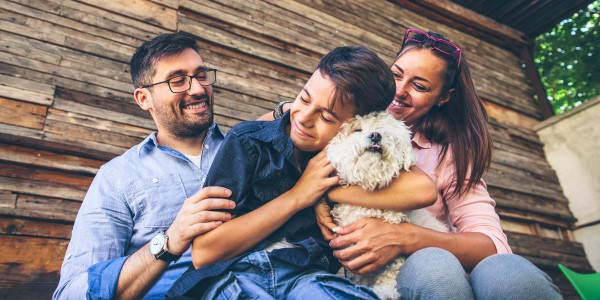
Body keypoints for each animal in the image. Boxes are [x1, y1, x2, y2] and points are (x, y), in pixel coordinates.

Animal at [326, 110, 448, 300]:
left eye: (385, 130)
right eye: (357, 129)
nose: (375, 135)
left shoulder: (394, 255)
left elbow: (390, 274)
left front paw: (385, 292)